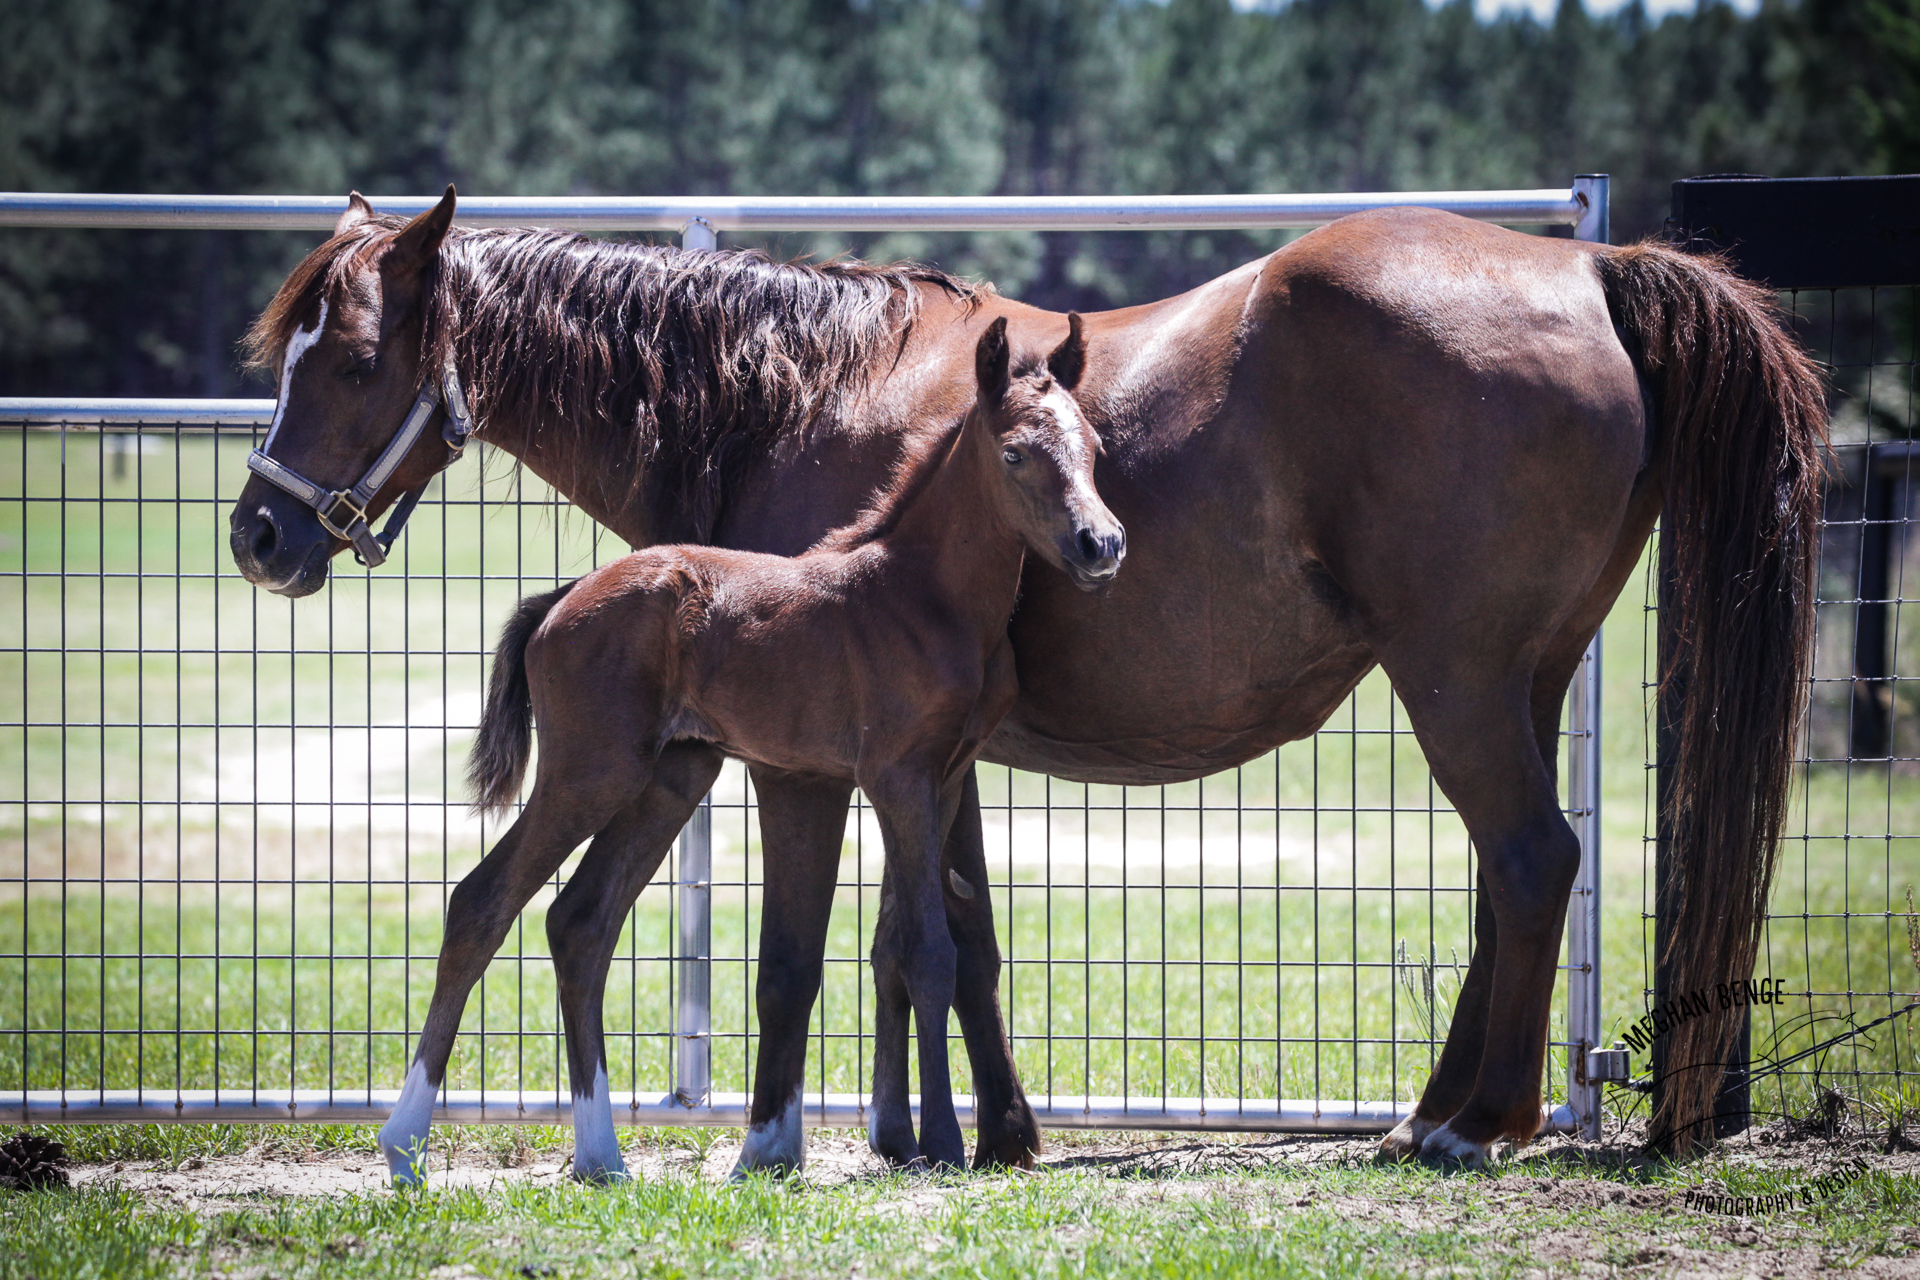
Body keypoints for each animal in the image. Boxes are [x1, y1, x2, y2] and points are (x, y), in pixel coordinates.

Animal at [232, 187, 1826, 1168]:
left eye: (353, 355)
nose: (257, 532)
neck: (803, 392)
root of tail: (1590, 269)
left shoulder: (811, 768)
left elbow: (829, 948)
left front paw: (843, 1134)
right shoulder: (931, 759)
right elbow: (955, 939)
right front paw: (975, 1130)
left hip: (1460, 682)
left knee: (1533, 858)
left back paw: (1474, 1120)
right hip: (1521, 681)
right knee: (1512, 876)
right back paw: (1432, 1107)